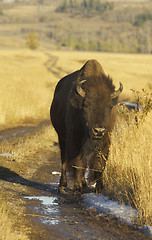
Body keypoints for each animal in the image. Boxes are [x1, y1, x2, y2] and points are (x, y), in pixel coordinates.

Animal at [50, 59, 123, 193]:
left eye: (110, 106)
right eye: (86, 105)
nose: (98, 131)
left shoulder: (106, 139)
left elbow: (100, 163)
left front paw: (99, 187)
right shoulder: (75, 139)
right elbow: (78, 163)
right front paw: (77, 187)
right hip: (61, 137)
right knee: (64, 160)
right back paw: (63, 185)